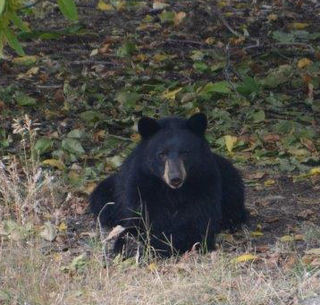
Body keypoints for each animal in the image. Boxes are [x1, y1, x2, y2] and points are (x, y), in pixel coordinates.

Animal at [89, 113, 246, 255]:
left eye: (185, 152)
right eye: (162, 154)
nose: (175, 178)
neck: (172, 192)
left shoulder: (205, 184)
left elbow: (196, 225)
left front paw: (160, 243)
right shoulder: (141, 188)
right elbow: (139, 221)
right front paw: (127, 245)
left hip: (229, 174)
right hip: (109, 190)